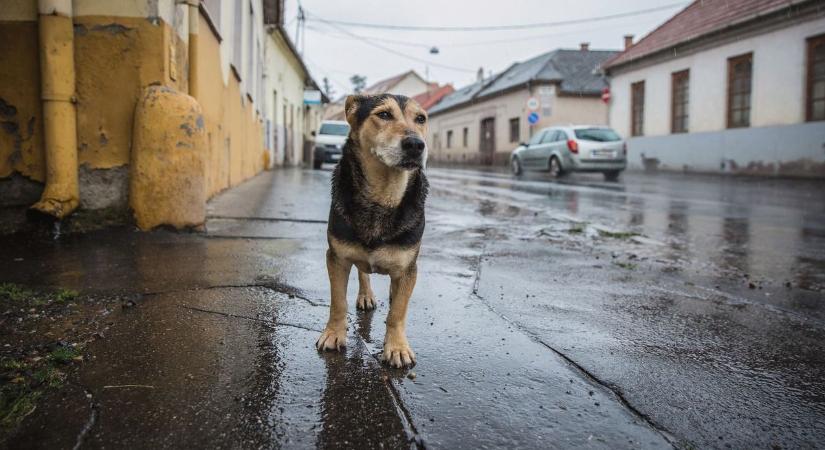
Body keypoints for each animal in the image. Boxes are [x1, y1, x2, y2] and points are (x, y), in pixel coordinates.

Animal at [318, 93, 432, 368]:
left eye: (421, 119)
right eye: (384, 115)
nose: (416, 144)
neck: (383, 196)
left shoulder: (408, 268)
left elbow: (398, 312)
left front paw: (397, 347)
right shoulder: (336, 257)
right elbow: (338, 301)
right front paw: (333, 334)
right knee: (363, 273)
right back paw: (366, 295)